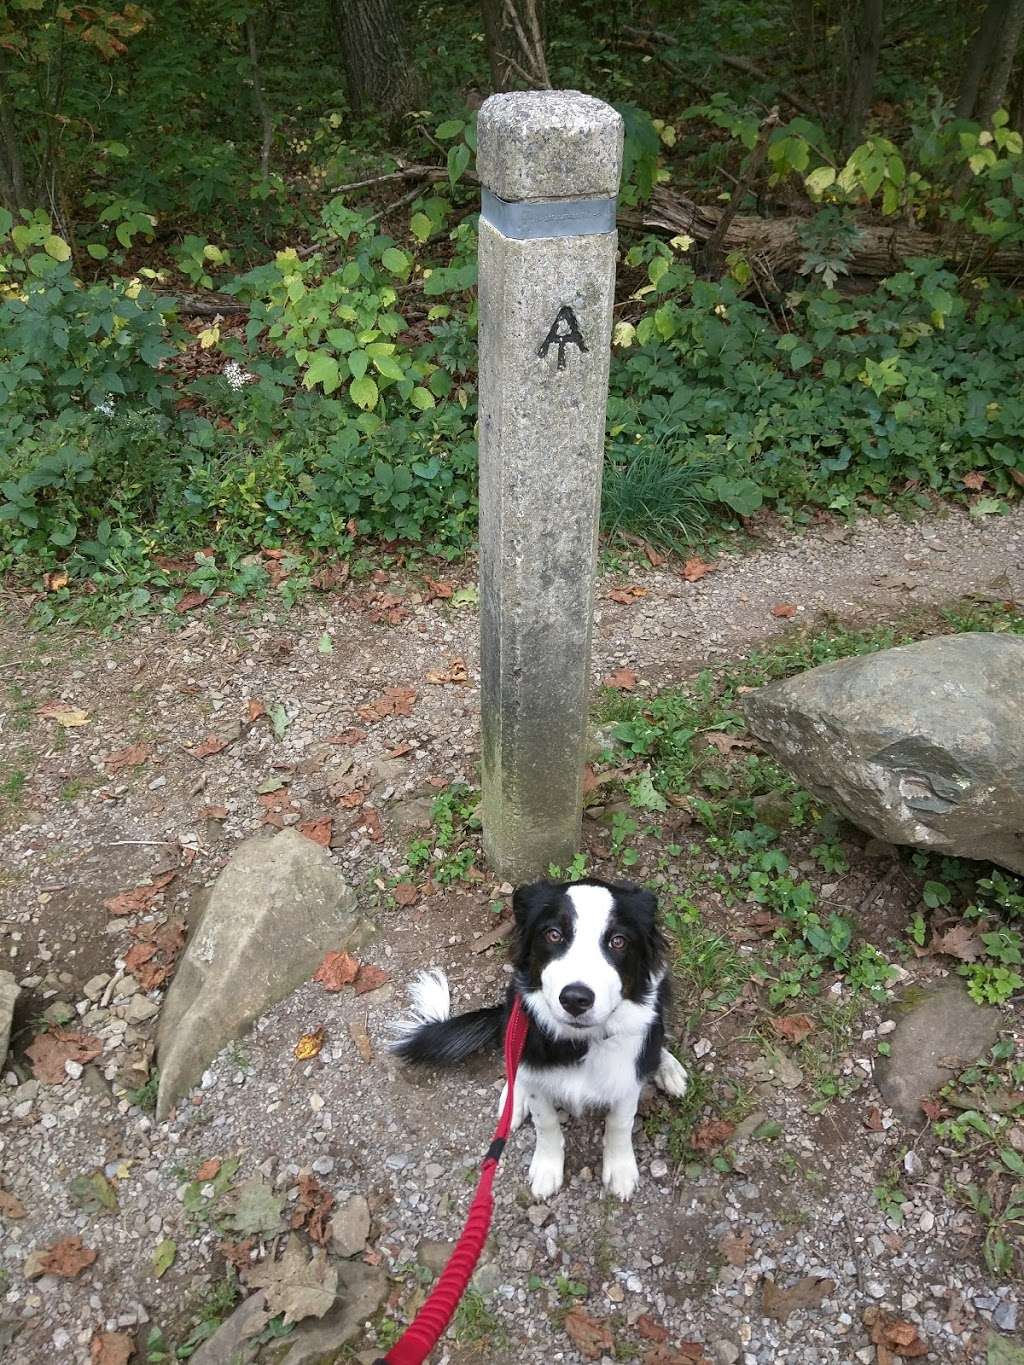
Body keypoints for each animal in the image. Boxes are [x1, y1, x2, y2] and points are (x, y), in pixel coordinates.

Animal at [387, 879, 693, 1201]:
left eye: (618, 941)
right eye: (554, 934)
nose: (575, 999)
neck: (580, 1042)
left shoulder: (626, 1078)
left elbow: (620, 1123)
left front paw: (621, 1170)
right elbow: (545, 1122)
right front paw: (547, 1169)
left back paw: (667, 1067)